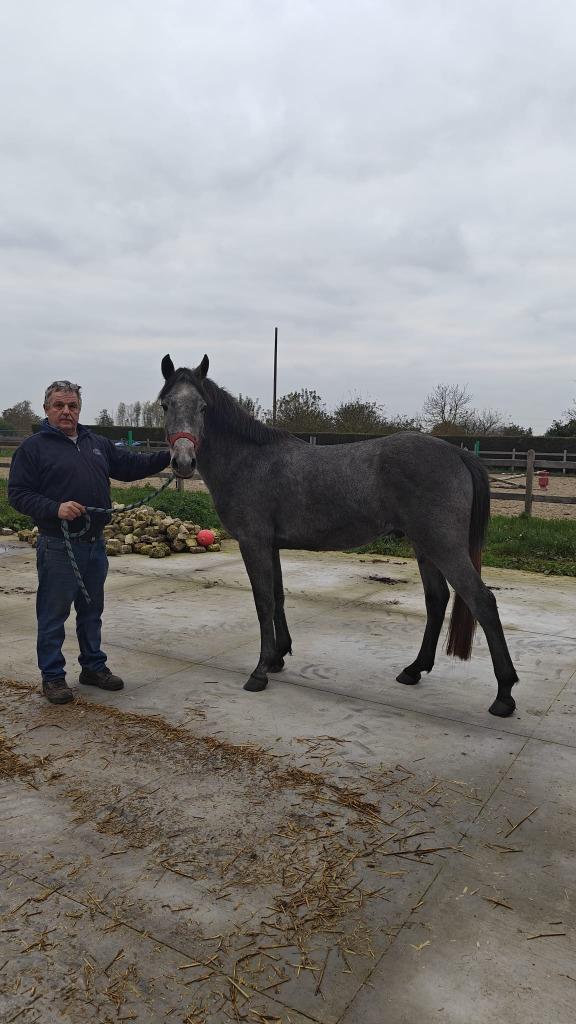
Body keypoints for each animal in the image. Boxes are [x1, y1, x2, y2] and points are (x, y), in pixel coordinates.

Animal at [159, 354, 519, 717]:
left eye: (203, 407)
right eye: (165, 404)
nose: (183, 462)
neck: (249, 459)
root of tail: (458, 453)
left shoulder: (253, 543)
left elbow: (263, 601)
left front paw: (260, 671)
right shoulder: (271, 545)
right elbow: (278, 596)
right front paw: (278, 657)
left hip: (444, 546)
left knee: (482, 602)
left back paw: (504, 694)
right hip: (425, 546)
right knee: (437, 600)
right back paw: (414, 669)